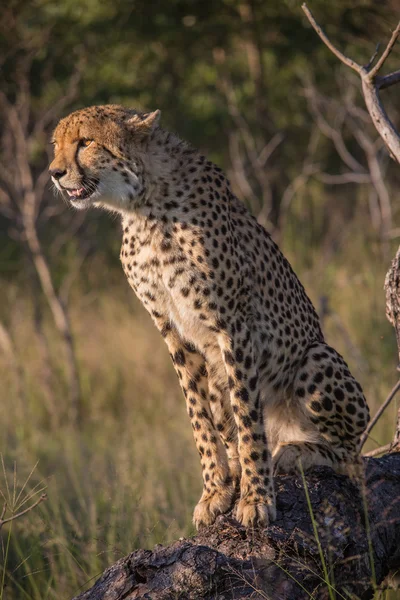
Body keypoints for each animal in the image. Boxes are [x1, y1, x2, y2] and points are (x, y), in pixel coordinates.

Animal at [49, 105, 368, 528]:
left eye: (86, 142)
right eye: (56, 145)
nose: (54, 172)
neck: (143, 206)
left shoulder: (233, 324)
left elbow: (248, 418)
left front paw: (256, 497)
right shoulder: (172, 330)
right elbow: (199, 418)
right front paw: (216, 490)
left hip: (316, 357)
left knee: (350, 455)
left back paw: (296, 451)